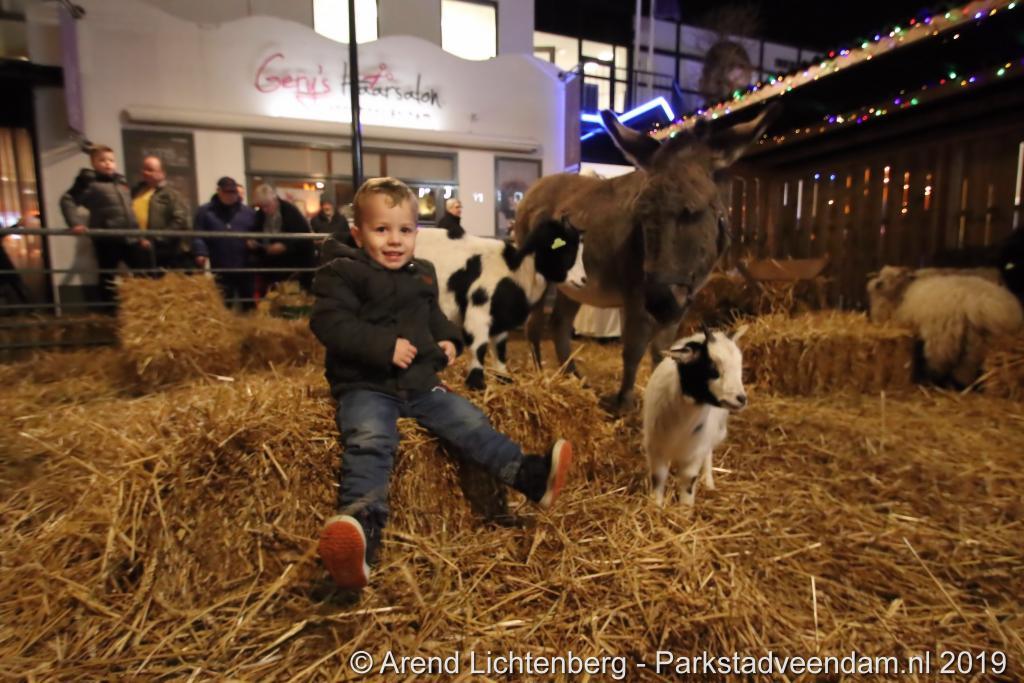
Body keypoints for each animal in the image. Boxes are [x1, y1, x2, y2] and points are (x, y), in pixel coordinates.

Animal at [642, 325, 748, 507]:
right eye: (713, 370)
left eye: (739, 368)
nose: (741, 399)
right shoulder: (656, 447)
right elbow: (658, 477)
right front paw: (655, 505)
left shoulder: (695, 451)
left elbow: (688, 480)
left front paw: (685, 509)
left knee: (708, 454)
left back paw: (708, 481)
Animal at [867, 265, 1024, 387]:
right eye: (880, 273)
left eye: (898, 275)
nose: (878, 284)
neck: (903, 292)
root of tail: (978, 304)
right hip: (976, 340)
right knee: (967, 368)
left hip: (943, 339)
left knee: (939, 364)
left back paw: (931, 382)